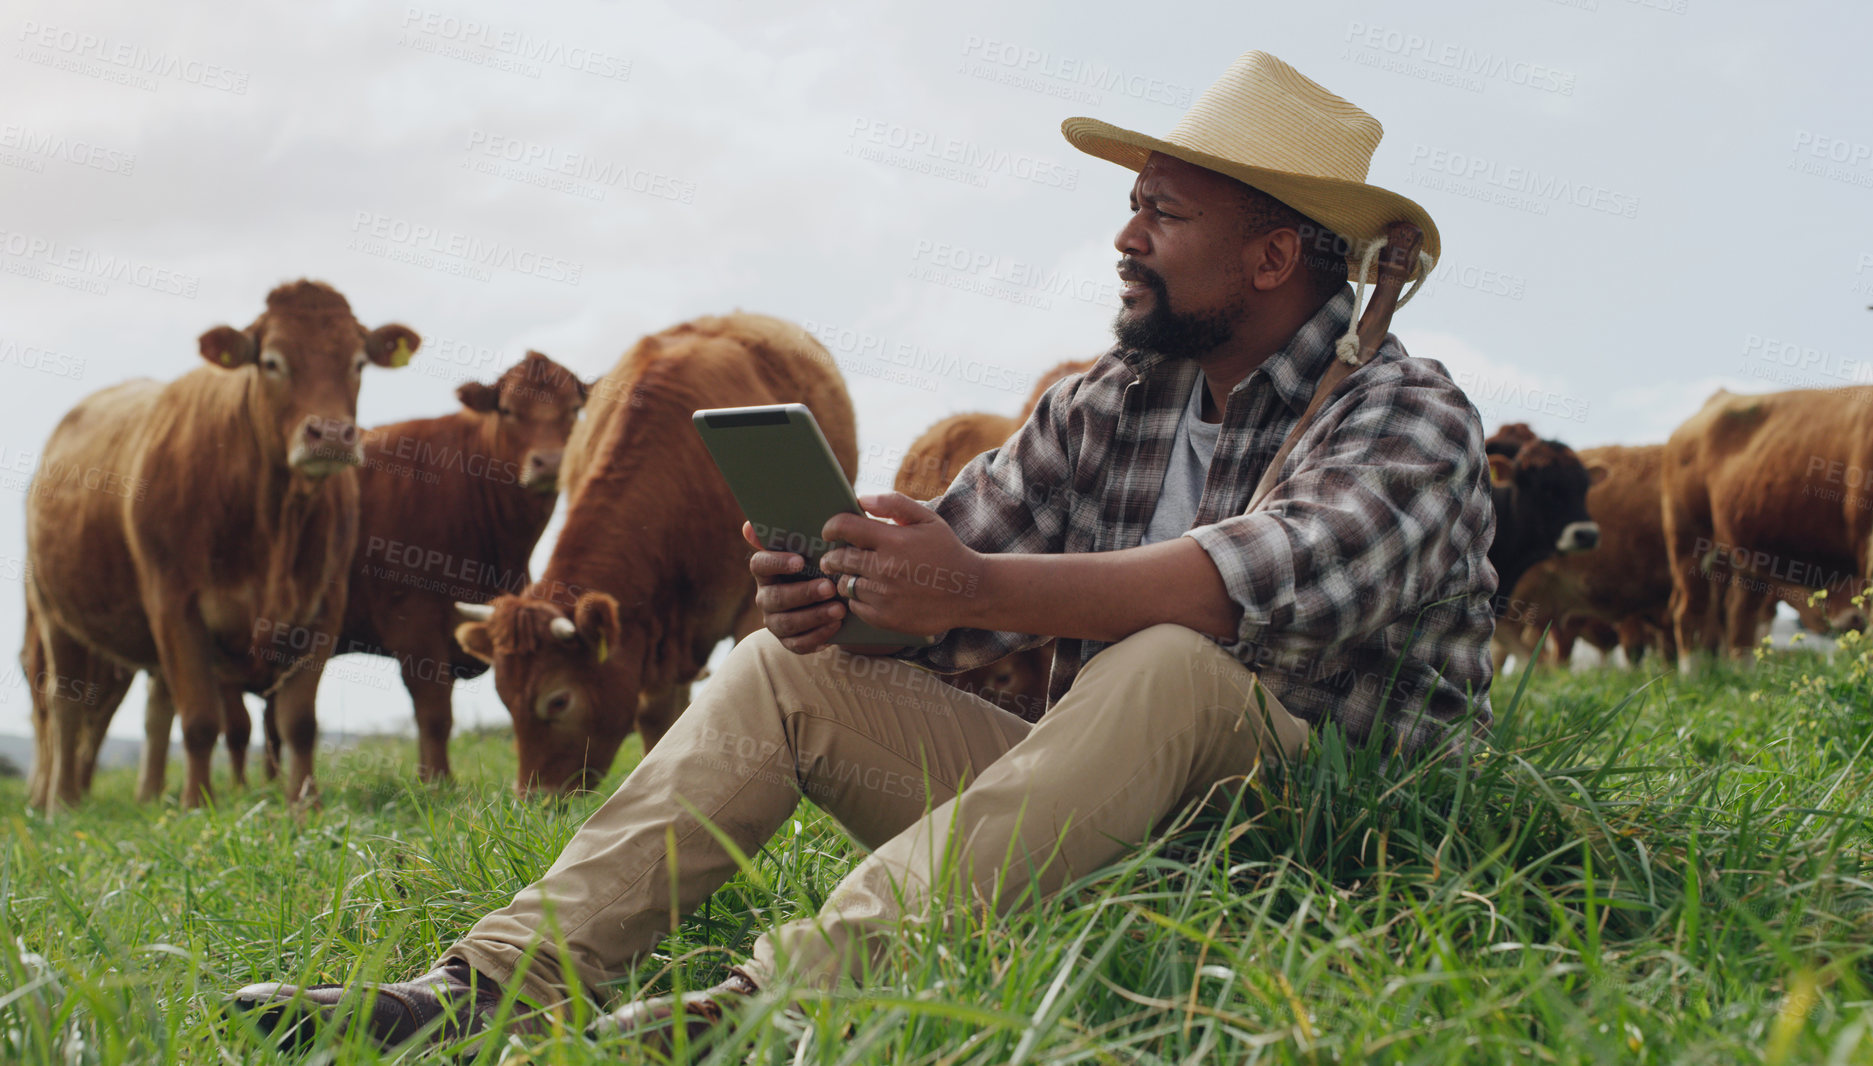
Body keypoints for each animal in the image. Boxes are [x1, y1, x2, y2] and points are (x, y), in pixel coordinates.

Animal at [258, 354, 584, 775]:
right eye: (508, 410)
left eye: (574, 409)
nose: (550, 462)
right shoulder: (415, 621)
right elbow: (434, 713)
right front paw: (440, 782)